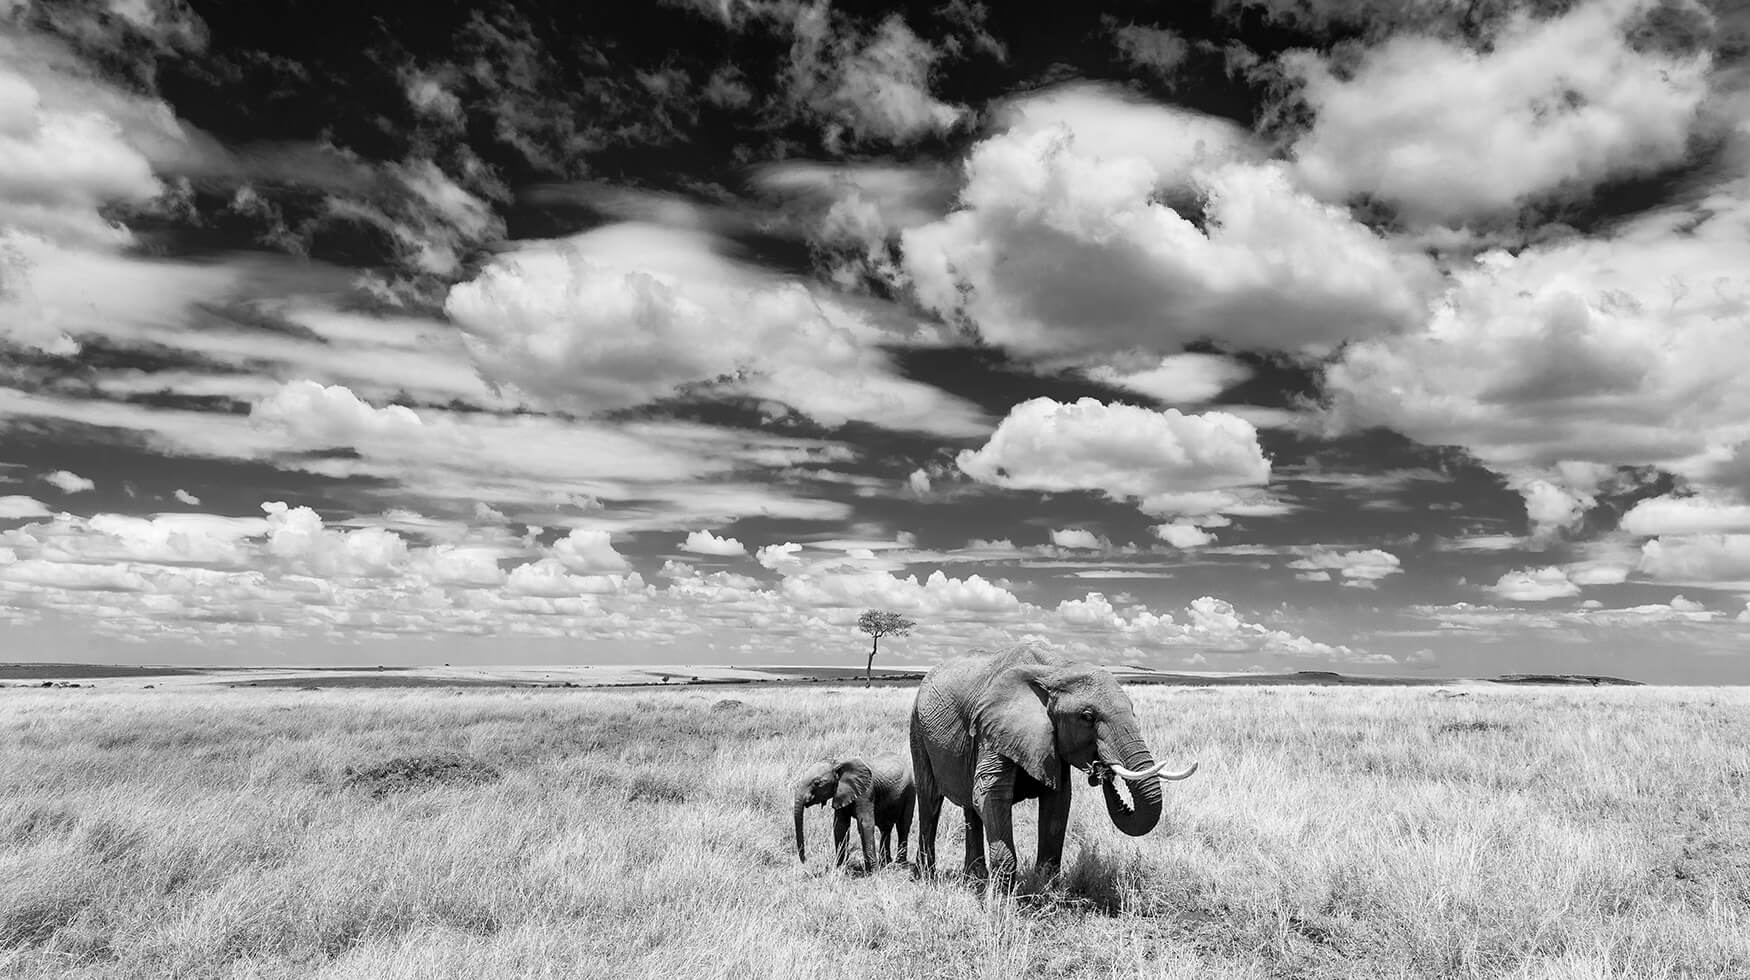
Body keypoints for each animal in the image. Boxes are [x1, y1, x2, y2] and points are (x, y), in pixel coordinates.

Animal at [910, 647, 1197, 892]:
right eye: (1087, 717)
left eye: (1133, 710)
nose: (1101, 770)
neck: (1055, 670)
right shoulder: (993, 727)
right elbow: (990, 795)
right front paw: (1002, 902)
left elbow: (1058, 803)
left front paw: (1045, 892)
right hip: (917, 727)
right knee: (930, 799)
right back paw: (926, 877)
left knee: (969, 807)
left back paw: (975, 879)